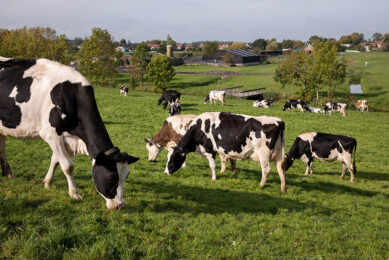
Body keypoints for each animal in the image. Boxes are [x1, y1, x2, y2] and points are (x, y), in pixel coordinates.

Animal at [0, 56, 139, 209]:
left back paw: (8, 173)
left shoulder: (65, 138)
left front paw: (47, 182)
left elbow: (55, 160)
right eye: (111, 177)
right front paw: (74, 193)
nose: (120, 205)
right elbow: (67, 166)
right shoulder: (51, 134)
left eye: (126, 176)